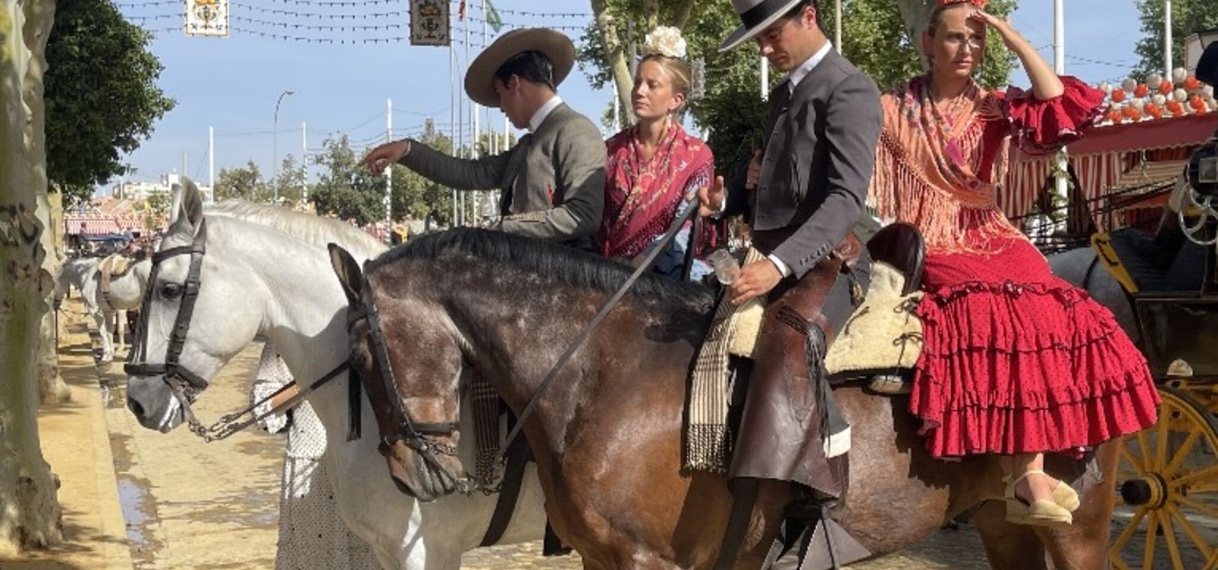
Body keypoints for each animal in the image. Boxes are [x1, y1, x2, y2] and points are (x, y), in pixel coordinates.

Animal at [328, 227, 1115, 570]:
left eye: (363, 354)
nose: (415, 474)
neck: (600, 369)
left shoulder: (648, 562)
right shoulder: (600, 559)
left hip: (1078, 528)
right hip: (1001, 522)